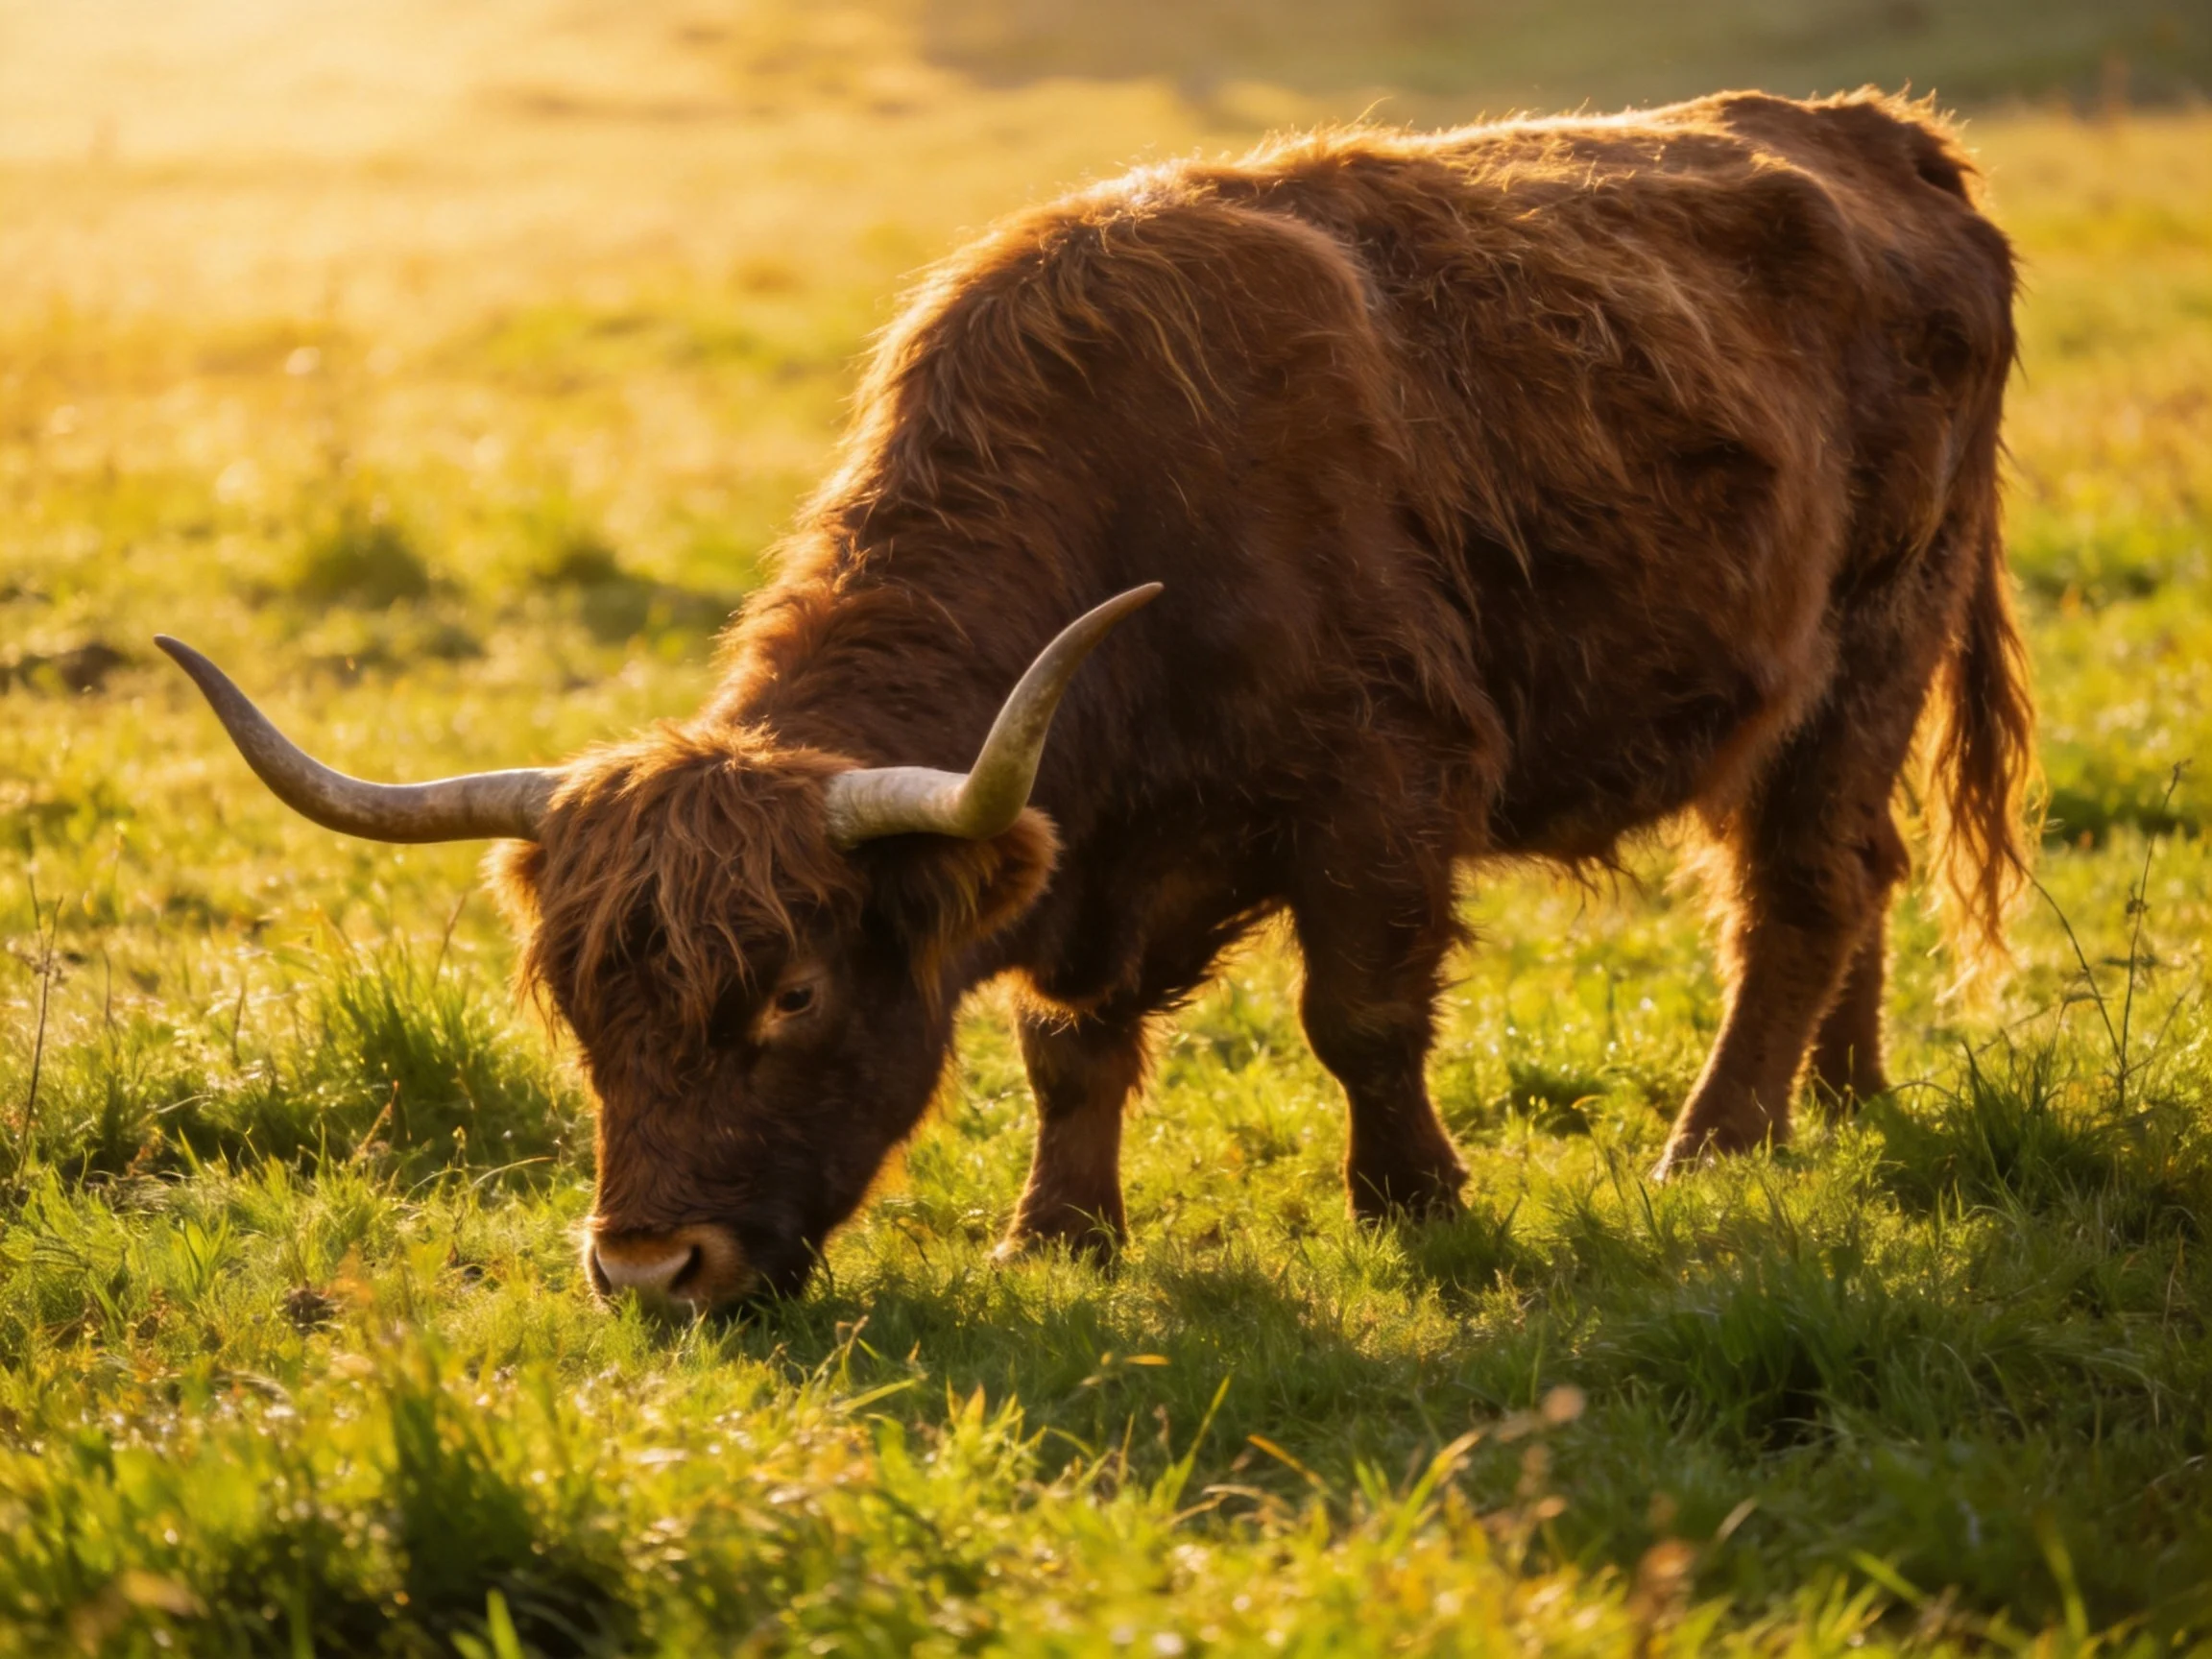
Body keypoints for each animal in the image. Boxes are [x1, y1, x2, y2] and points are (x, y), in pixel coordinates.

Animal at [161, 89, 2033, 1314]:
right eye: (575, 1002)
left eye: (784, 993)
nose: (646, 1266)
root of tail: (1880, 136)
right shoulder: (1089, 851)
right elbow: (1068, 1043)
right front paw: (1055, 1229)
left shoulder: (1385, 785)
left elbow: (1357, 1015)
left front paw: (1414, 1202)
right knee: (1851, 876)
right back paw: (1841, 1097)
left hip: (1869, 638)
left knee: (1798, 888)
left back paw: (1716, 1140)